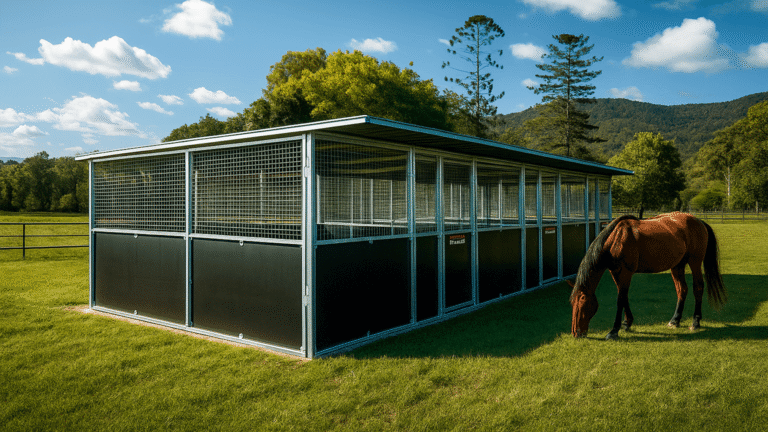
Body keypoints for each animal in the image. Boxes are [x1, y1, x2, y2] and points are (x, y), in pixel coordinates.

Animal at [568, 212, 727, 340]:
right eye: (572, 304)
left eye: (582, 303)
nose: (576, 333)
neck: (616, 239)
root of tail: (699, 221)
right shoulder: (615, 272)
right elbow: (624, 296)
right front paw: (627, 323)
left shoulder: (625, 272)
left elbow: (620, 299)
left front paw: (614, 331)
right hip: (677, 265)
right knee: (682, 289)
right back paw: (675, 320)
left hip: (695, 261)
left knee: (698, 287)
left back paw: (695, 322)